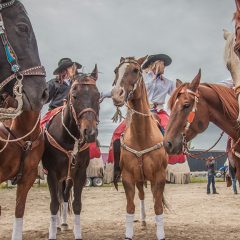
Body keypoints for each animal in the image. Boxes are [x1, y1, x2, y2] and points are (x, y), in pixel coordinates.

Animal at [41, 66, 100, 240]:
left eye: (98, 96)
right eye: (74, 96)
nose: (90, 132)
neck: (69, 139)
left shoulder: (79, 173)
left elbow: (77, 204)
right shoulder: (52, 173)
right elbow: (54, 204)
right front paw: (52, 233)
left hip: (67, 178)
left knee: (65, 196)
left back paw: (64, 223)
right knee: (59, 198)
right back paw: (57, 225)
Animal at [110, 56, 167, 240]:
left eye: (135, 70)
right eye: (116, 71)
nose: (117, 94)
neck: (142, 136)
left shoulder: (159, 177)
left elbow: (158, 207)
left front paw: (161, 234)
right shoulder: (128, 177)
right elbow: (130, 207)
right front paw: (129, 234)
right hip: (139, 179)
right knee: (141, 195)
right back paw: (142, 221)